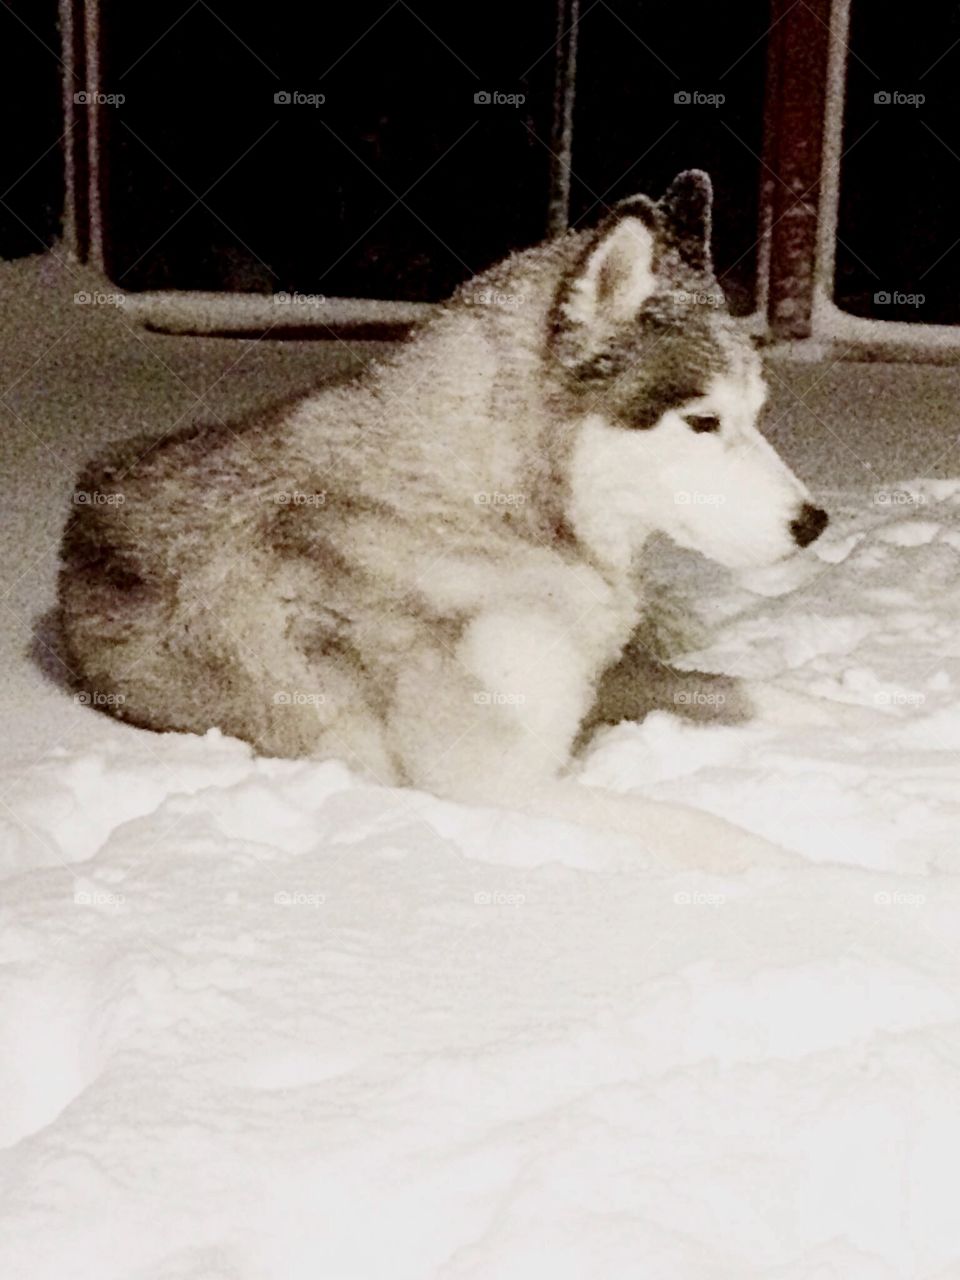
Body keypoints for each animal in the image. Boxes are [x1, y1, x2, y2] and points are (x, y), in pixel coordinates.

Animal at [60, 165, 829, 855]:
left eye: (757, 412)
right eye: (703, 422)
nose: (814, 524)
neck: (489, 519)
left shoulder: (597, 681)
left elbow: (749, 692)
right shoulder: (484, 780)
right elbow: (707, 829)